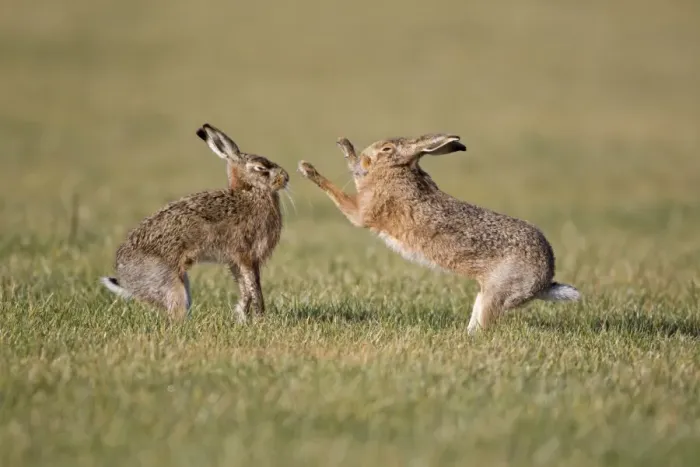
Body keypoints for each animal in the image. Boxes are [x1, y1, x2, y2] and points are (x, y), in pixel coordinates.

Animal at [100, 123, 289, 322]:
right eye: (261, 167)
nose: (286, 177)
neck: (251, 191)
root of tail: (124, 275)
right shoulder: (247, 255)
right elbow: (254, 288)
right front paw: (260, 319)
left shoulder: (235, 261)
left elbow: (245, 290)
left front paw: (241, 318)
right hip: (171, 286)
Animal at [297, 134, 580, 334]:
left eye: (387, 149)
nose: (368, 156)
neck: (398, 170)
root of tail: (545, 280)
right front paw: (345, 147)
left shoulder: (362, 211)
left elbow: (339, 192)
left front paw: (308, 168)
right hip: (486, 293)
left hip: (499, 292)